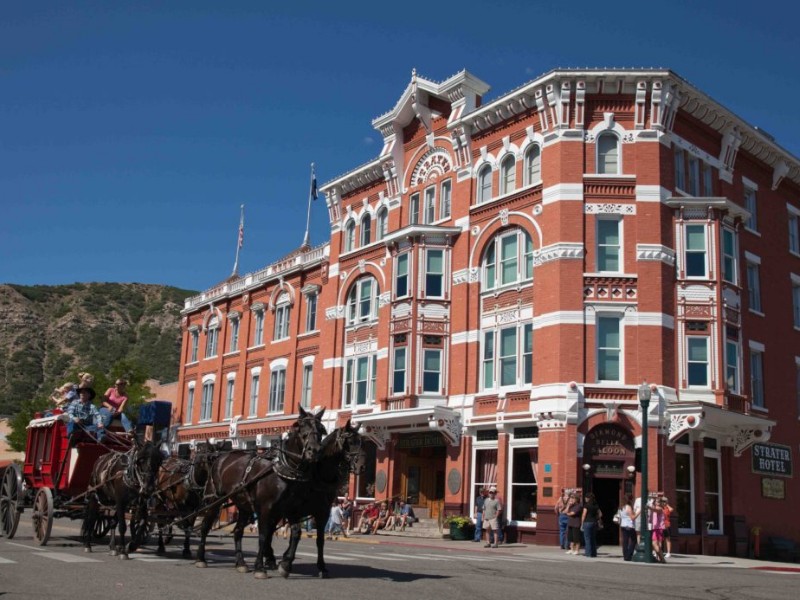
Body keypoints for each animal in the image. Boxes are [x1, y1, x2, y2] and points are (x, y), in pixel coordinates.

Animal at [194, 408, 324, 576]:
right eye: (301, 428)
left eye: (320, 429)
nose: (314, 451)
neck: (283, 469)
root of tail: (220, 457)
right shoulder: (266, 508)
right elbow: (263, 535)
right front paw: (260, 567)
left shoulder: (290, 509)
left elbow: (295, 532)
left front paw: (285, 564)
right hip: (214, 500)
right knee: (205, 527)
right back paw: (200, 558)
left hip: (243, 505)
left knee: (238, 531)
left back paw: (241, 563)